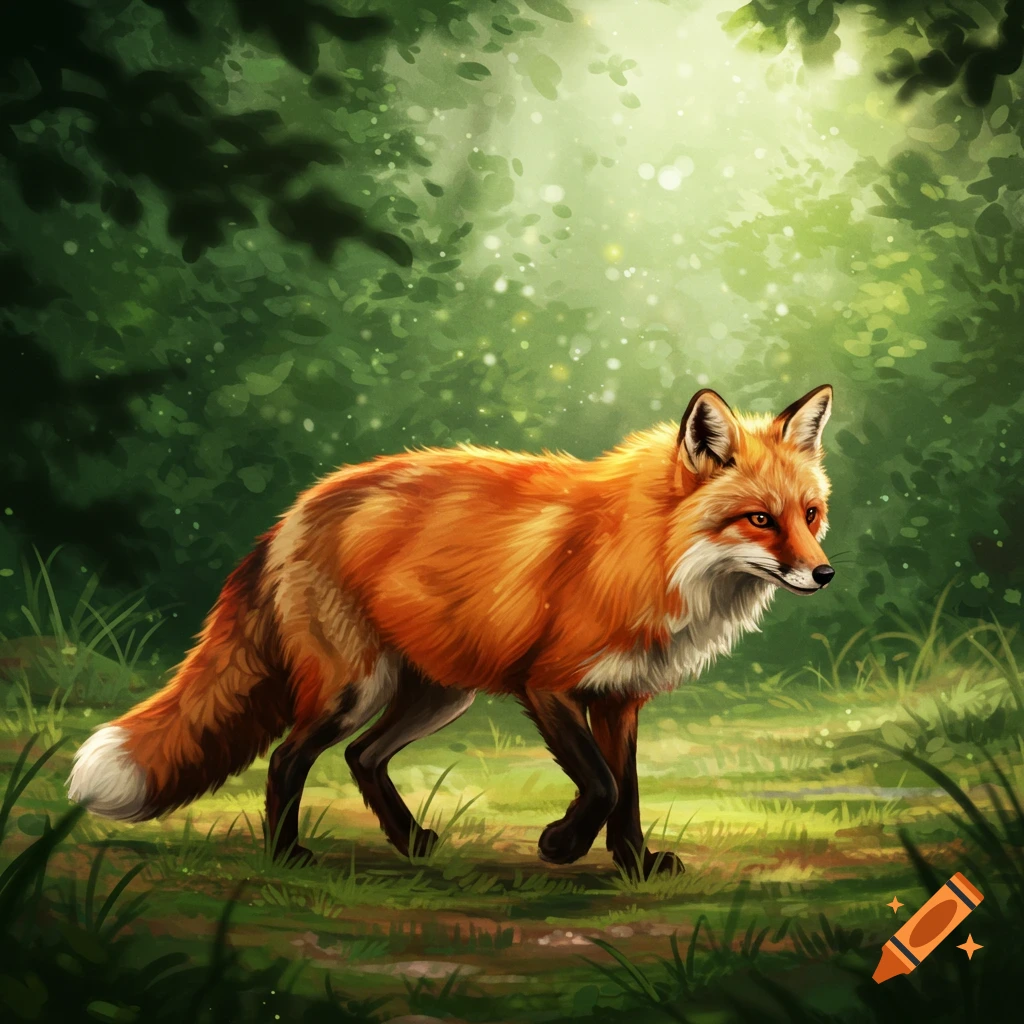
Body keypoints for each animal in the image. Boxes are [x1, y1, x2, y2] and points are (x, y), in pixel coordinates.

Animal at [67, 384, 834, 878]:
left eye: (811, 514)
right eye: (759, 520)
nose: (824, 574)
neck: (649, 549)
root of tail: (294, 511)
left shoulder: (620, 699)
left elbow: (629, 794)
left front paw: (636, 866)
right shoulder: (548, 685)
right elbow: (603, 787)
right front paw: (560, 845)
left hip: (440, 695)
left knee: (362, 758)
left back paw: (409, 842)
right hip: (354, 688)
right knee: (288, 761)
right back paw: (287, 857)